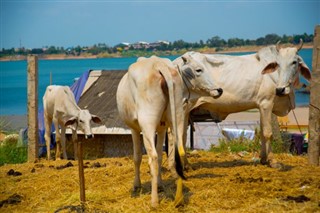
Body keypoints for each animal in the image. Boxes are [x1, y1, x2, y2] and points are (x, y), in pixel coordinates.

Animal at [116, 55, 224, 208]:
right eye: (199, 70)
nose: (219, 90)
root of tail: (159, 65)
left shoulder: (134, 128)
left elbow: (137, 157)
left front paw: (136, 185)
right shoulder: (162, 128)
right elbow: (163, 155)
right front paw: (160, 184)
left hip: (147, 123)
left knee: (153, 158)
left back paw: (154, 201)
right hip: (178, 116)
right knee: (178, 150)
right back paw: (178, 197)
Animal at [176, 39, 312, 166]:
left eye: (294, 62)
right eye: (278, 64)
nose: (281, 89)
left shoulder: (261, 106)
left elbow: (262, 132)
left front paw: (263, 159)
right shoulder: (266, 103)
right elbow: (268, 133)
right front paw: (273, 161)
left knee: (182, 135)